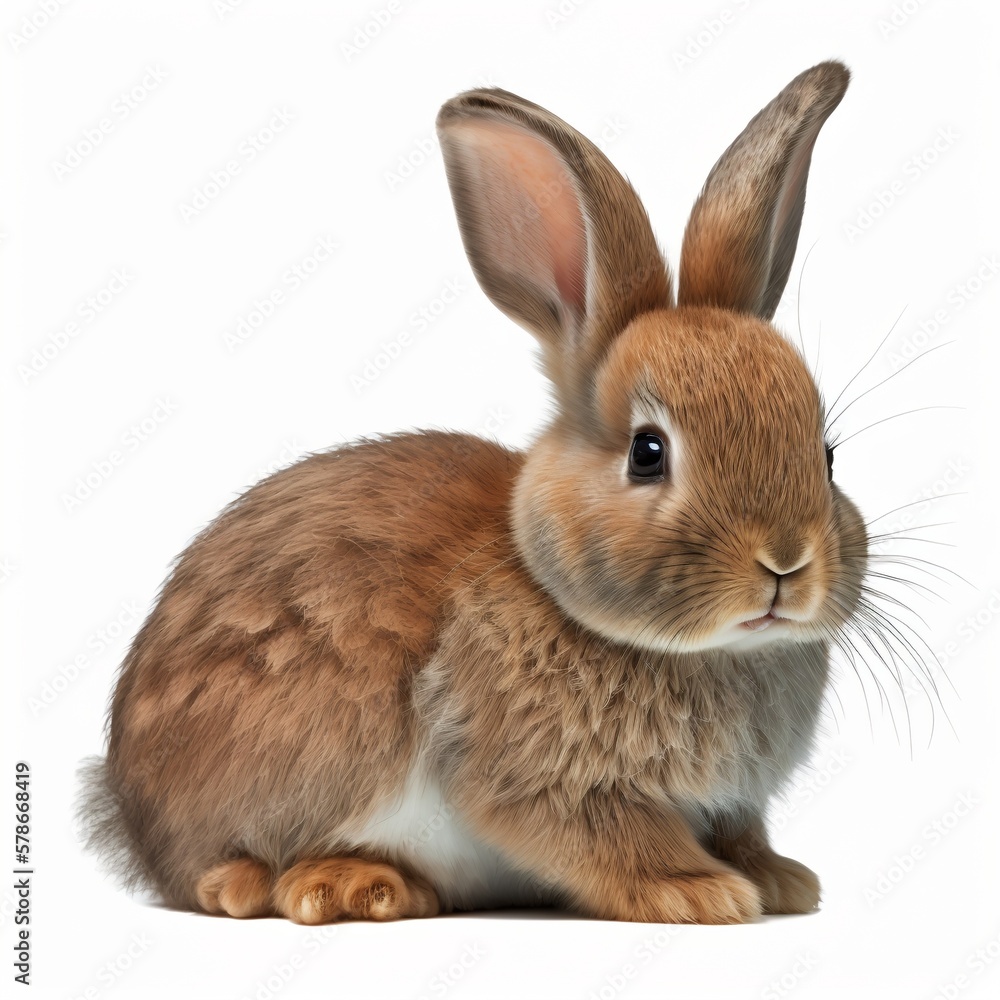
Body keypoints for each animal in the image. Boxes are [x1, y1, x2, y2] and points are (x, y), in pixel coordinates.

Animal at [80, 59, 867, 925]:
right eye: (648, 452)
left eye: (827, 454)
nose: (785, 564)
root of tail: (128, 815)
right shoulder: (540, 780)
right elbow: (608, 838)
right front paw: (699, 892)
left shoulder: (733, 804)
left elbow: (739, 831)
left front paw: (781, 881)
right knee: (220, 876)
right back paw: (343, 883)